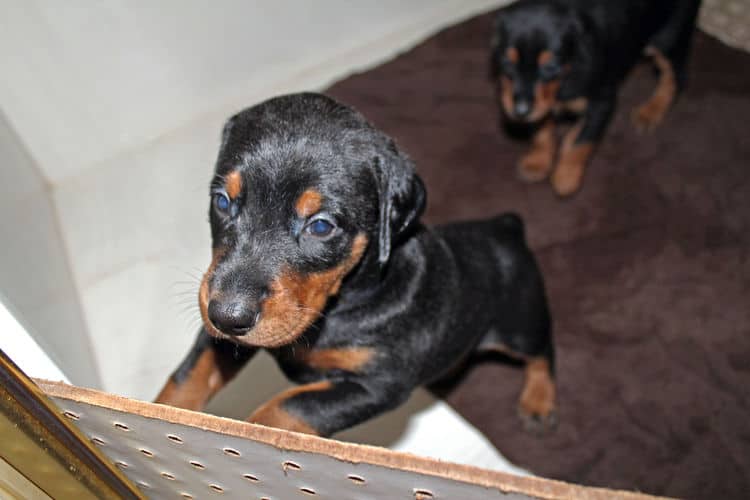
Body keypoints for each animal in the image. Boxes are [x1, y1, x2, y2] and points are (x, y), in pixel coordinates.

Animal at [156, 94, 560, 438]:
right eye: (223, 202)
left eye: (321, 226)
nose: (227, 316)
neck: (342, 303)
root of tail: (506, 226)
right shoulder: (221, 331)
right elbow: (188, 376)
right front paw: (159, 415)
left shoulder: (378, 384)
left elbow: (287, 408)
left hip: (520, 322)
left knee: (542, 351)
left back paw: (538, 401)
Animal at [490, 0, 704, 195]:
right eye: (507, 62)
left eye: (550, 67)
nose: (520, 112)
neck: (567, 73)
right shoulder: (540, 106)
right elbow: (541, 131)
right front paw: (537, 162)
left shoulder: (602, 103)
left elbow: (580, 141)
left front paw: (566, 177)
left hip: (670, 37)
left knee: (675, 77)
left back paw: (651, 111)